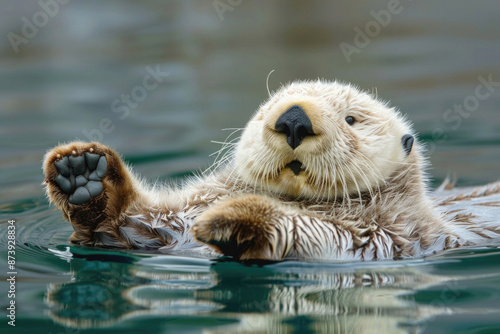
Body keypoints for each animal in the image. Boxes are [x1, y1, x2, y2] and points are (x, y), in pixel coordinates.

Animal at [42, 79, 500, 260]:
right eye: (269, 107)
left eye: (352, 119)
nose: (294, 118)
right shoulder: (181, 215)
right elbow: (147, 218)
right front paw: (84, 172)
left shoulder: (387, 233)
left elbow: (317, 233)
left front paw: (235, 218)